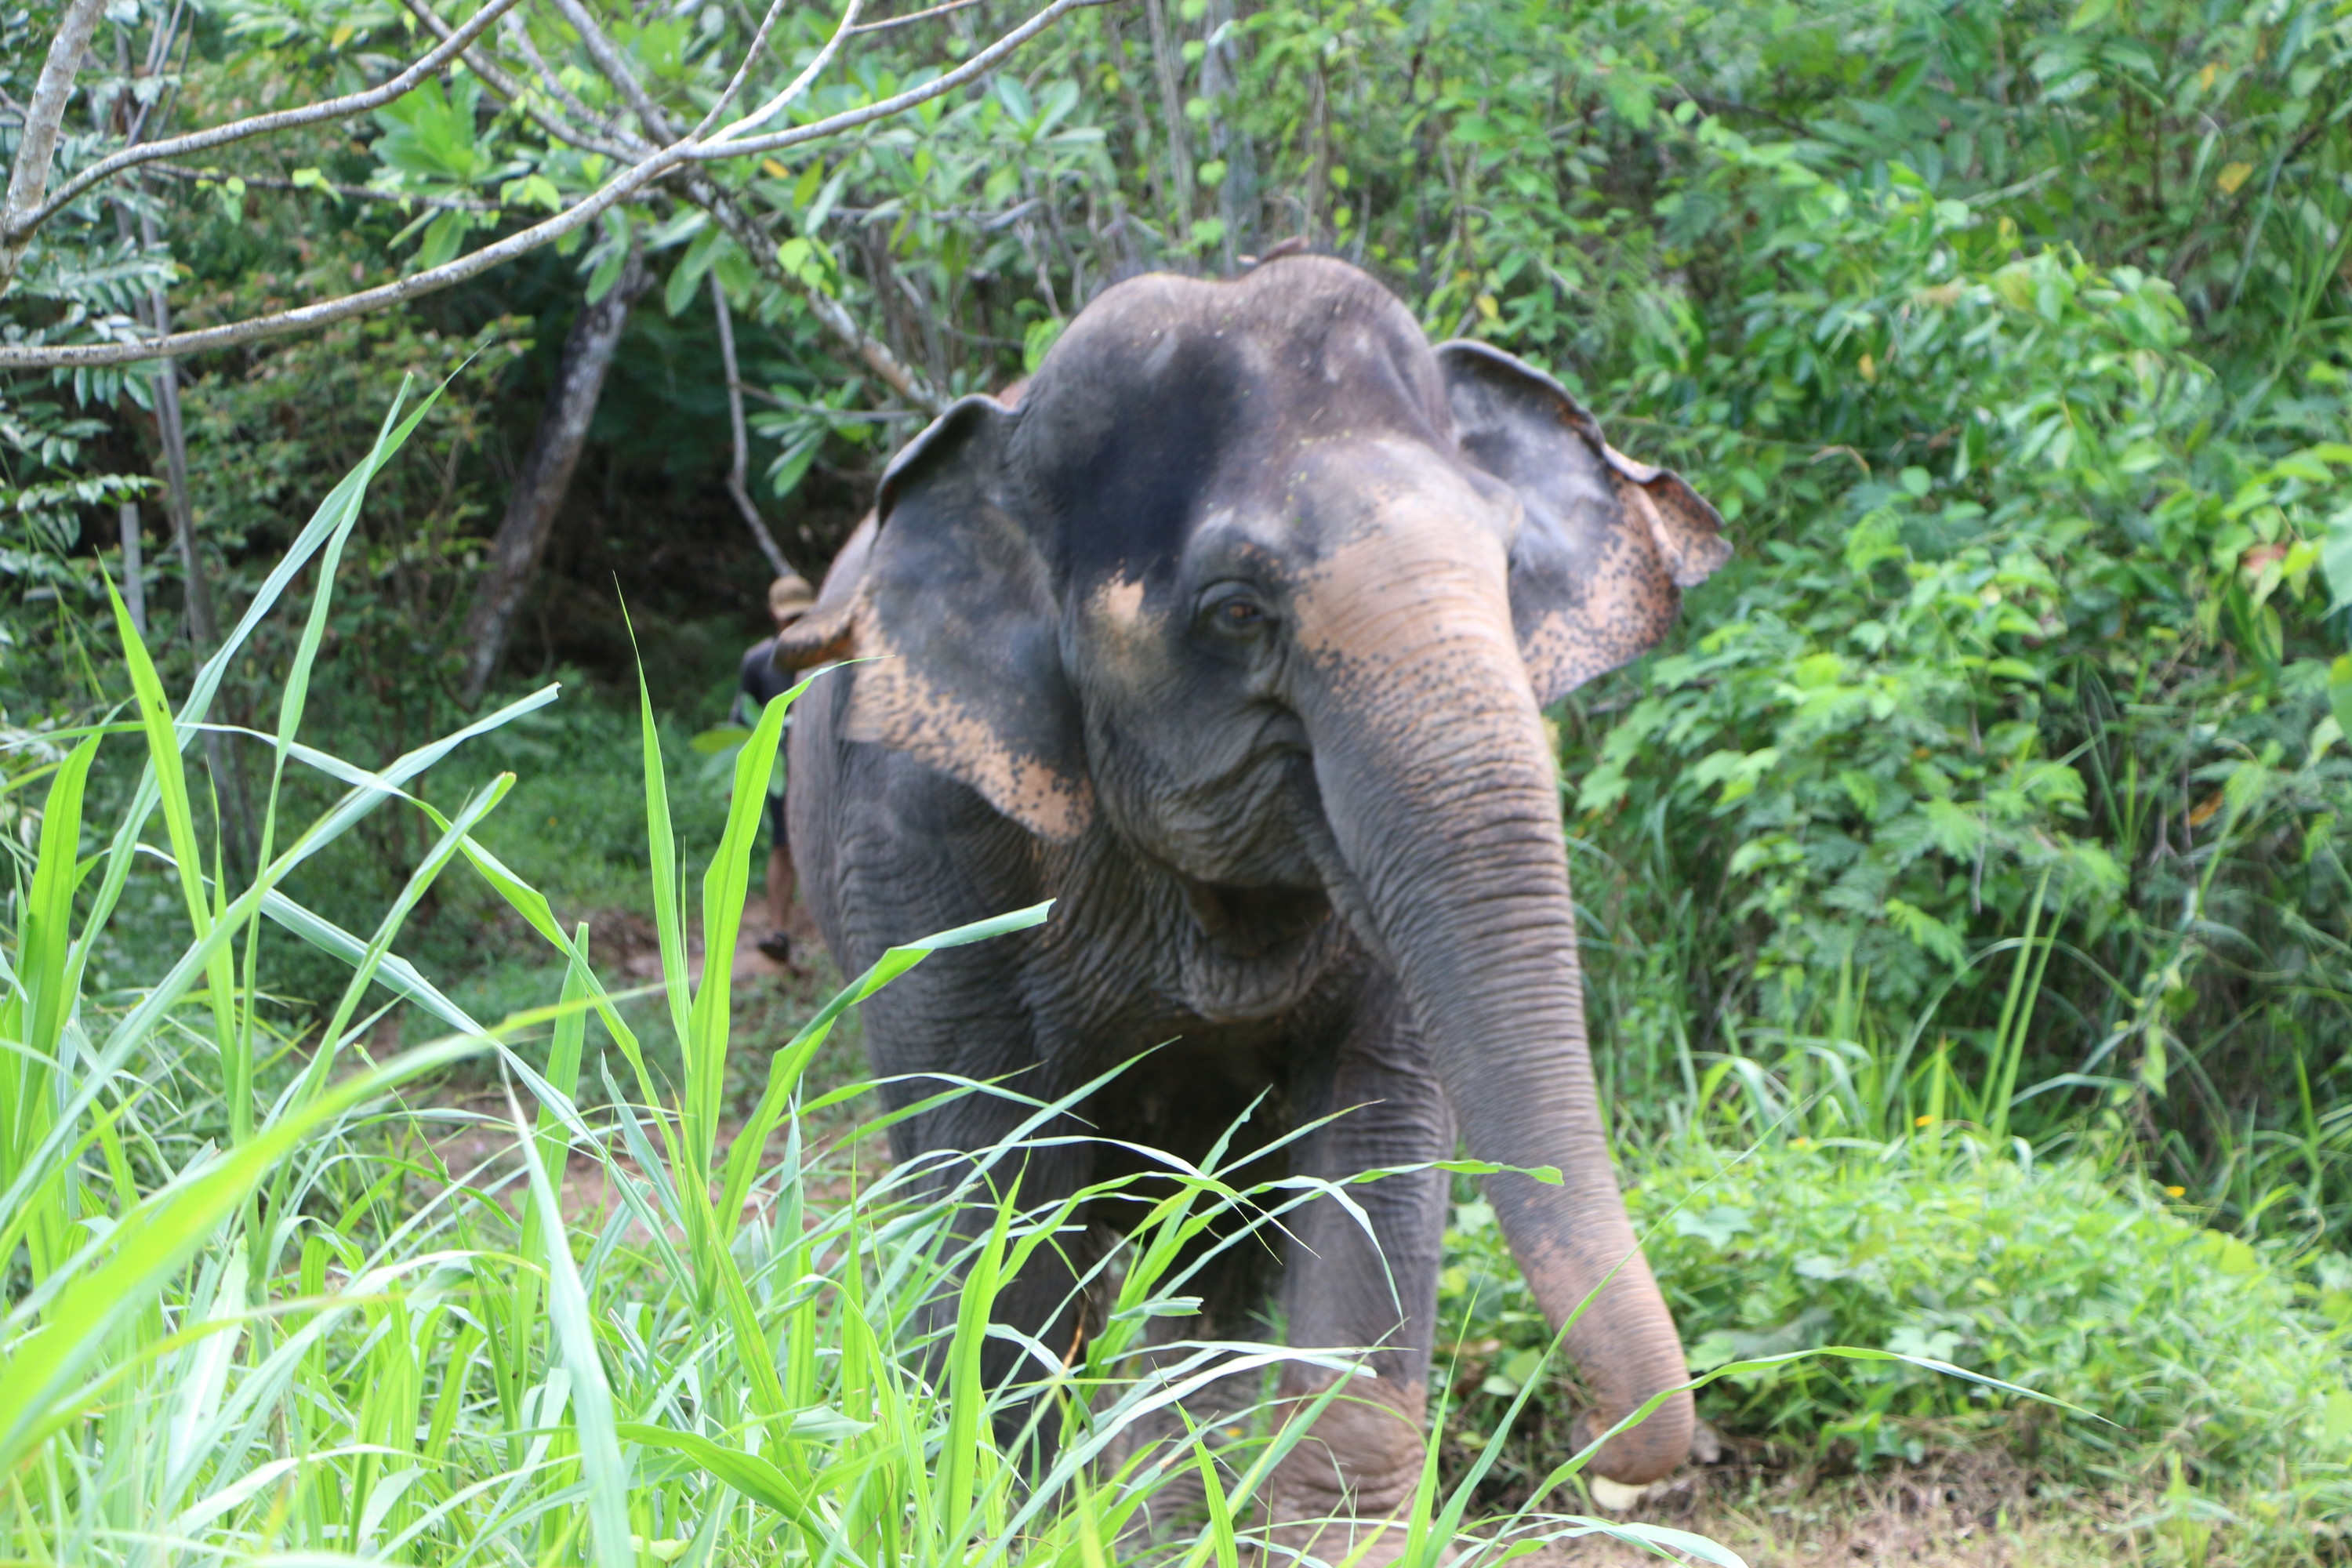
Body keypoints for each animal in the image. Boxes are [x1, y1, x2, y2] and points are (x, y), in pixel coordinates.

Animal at [775, 253, 1728, 1557]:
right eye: (1237, 611)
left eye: (1506, 568)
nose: (1614, 1460)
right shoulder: (922, 836)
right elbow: (997, 1182)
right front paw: (1015, 1523)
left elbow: (1376, 1153)